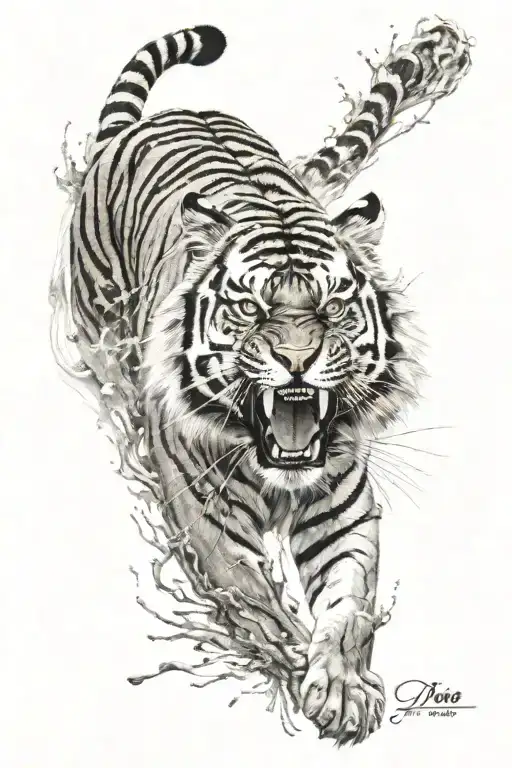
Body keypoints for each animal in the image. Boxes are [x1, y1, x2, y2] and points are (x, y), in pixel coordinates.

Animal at [55, 20, 472, 745]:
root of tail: (133, 129)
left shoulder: (345, 508)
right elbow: (256, 602)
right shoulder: (209, 520)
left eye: (333, 307)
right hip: (99, 329)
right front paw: (294, 667)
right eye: (250, 308)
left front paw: (340, 685)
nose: (298, 361)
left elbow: (349, 605)